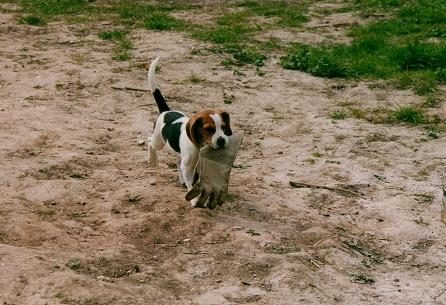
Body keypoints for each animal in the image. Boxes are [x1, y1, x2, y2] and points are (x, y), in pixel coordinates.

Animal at [147, 56, 233, 204]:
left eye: (223, 127)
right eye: (208, 129)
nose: (222, 140)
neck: (201, 146)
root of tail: (166, 110)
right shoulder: (188, 167)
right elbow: (192, 185)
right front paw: (194, 200)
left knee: (177, 161)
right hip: (158, 141)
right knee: (150, 142)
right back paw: (152, 160)